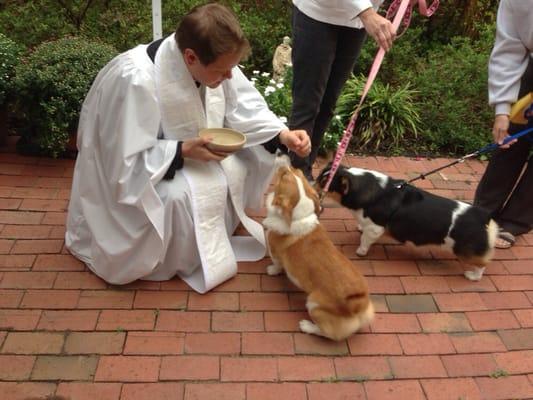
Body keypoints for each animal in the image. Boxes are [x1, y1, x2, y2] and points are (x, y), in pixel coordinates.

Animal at [262, 156, 374, 340]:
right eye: (297, 170)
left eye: (284, 174)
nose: (284, 156)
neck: (298, 216)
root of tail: (358, 305)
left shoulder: (275, 251)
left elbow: (277, 264)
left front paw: (271, 270)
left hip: (313, 303)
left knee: (328, 333)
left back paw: (307, 326)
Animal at [316, 162, 498, 282]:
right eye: (319, 177)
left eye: (324, 184)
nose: (310, 186)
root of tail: (482, 216)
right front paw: (360, 228)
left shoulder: (375, 228)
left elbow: (365, 240)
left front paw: (361, 251)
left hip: (466, 252)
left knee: (483, 264)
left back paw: (473, 276)